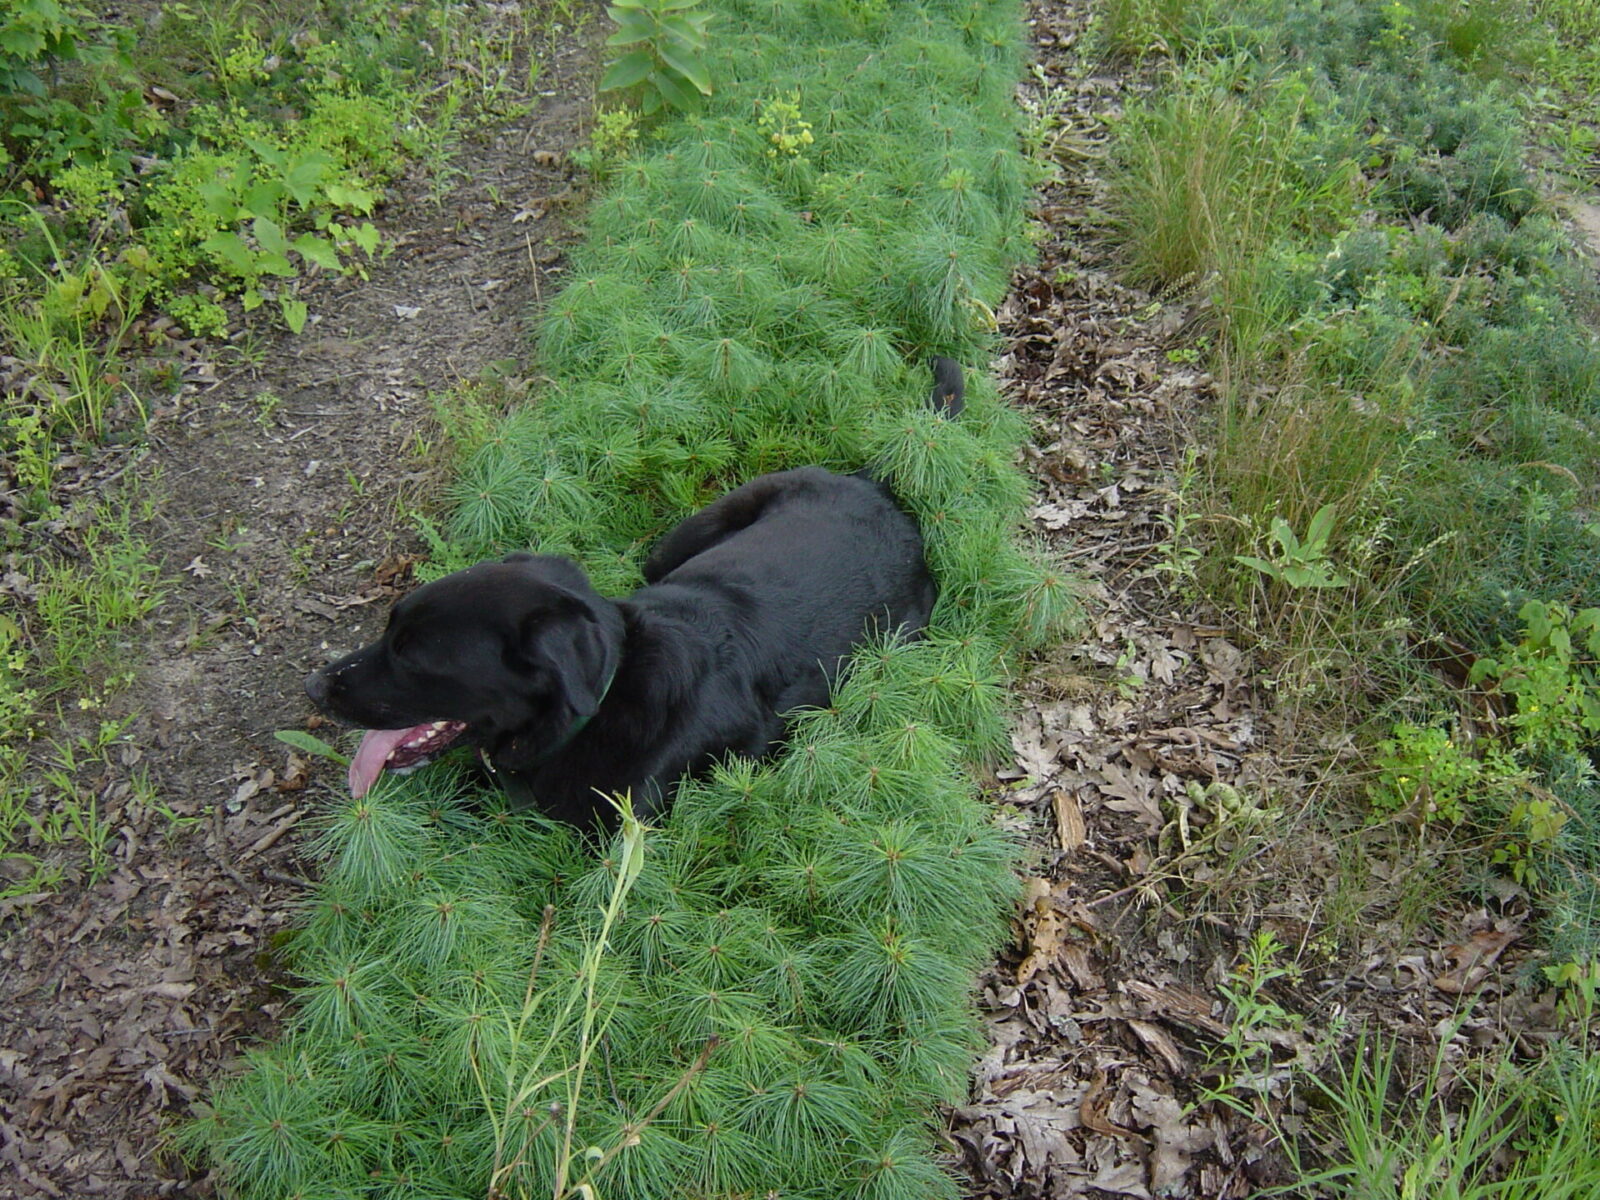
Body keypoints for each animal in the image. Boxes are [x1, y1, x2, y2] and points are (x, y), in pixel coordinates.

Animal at [307, 361, 966, 825]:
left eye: (413, 655)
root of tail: (876, 484)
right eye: (389, 628)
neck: (603, 698)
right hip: (680, 541)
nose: (313, 687)